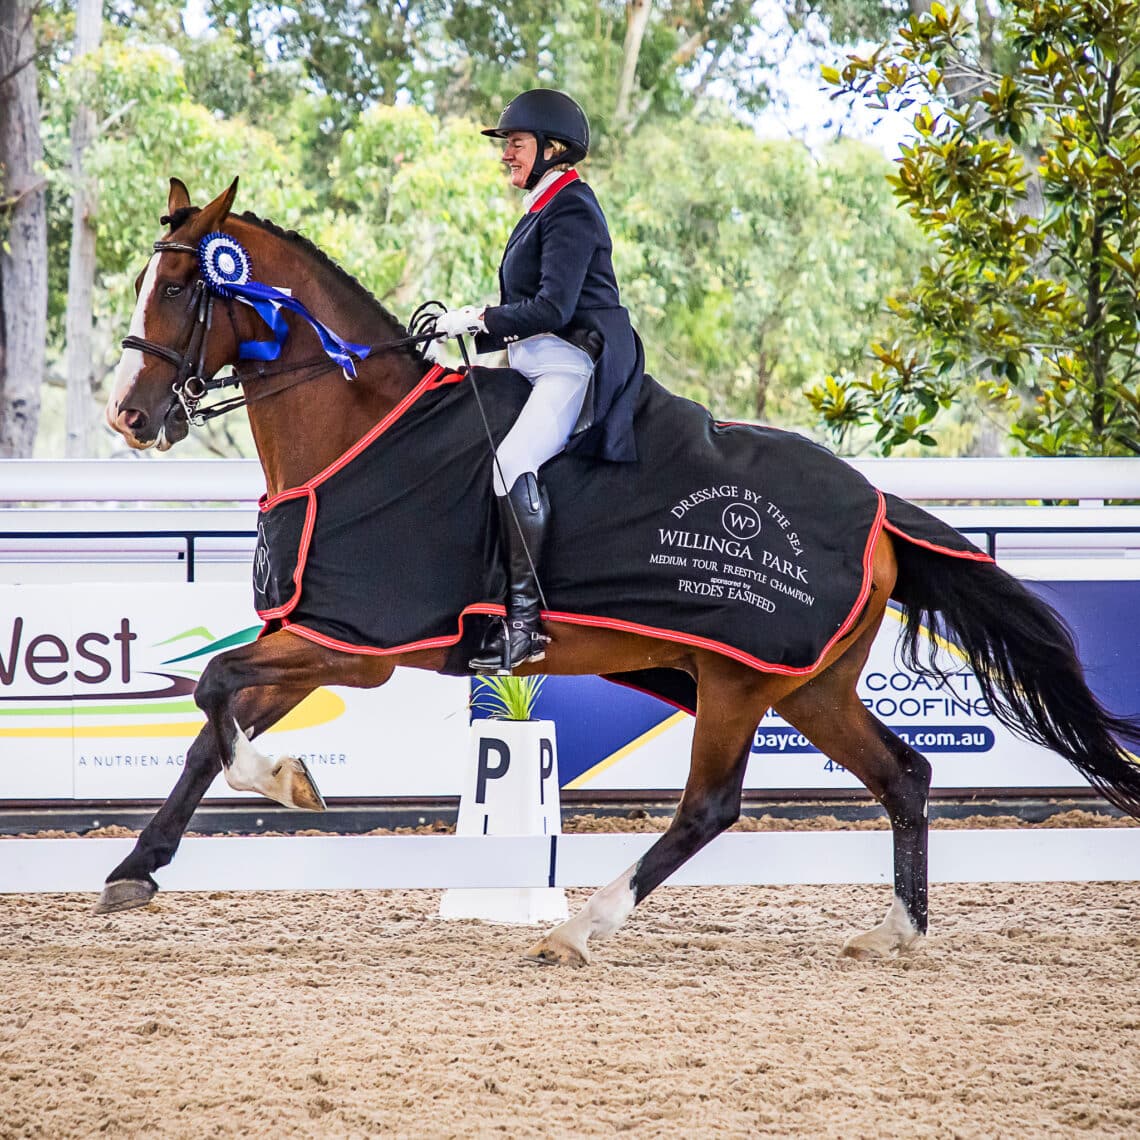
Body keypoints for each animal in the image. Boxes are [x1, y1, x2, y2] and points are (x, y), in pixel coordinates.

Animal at [98, 177, 1140, 962]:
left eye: (183, 289)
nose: (130, 417)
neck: (359, 432)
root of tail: (880, 512)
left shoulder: (353, 649)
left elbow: (215, 691)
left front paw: (283, 782)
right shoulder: (311, 637)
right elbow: (206, 729)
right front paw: (135, 870)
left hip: (739, 682)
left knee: (711, 807)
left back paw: (580, 928)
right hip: (808, 689)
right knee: (905, 775)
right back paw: (899, 933)